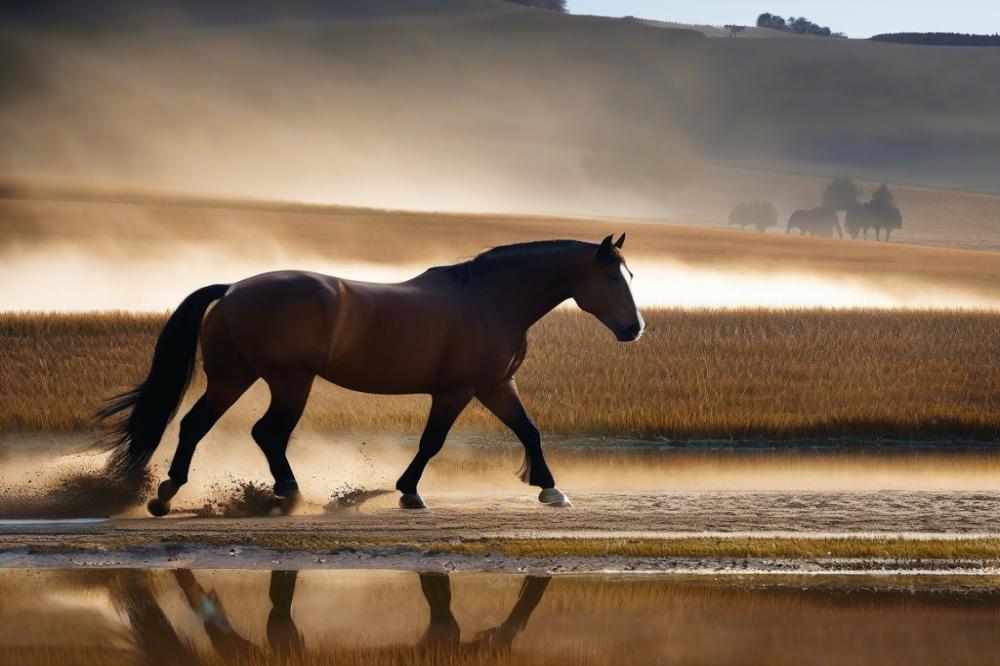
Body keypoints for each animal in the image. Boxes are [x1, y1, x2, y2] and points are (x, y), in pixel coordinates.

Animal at [101, 233, 644, 512]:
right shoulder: (457, 391)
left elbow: (529, 430)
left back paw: (168, 494)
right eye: (610, 277)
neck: (491, 300)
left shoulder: (495, 386)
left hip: (234, 377)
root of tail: (233, 289)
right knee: (268, 432)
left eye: (630, 274)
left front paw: (551, 488)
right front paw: (410, 492)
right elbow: (432, 442)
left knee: (196, 424)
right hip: (288, 381)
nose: (634, 328)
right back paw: (288, 492)